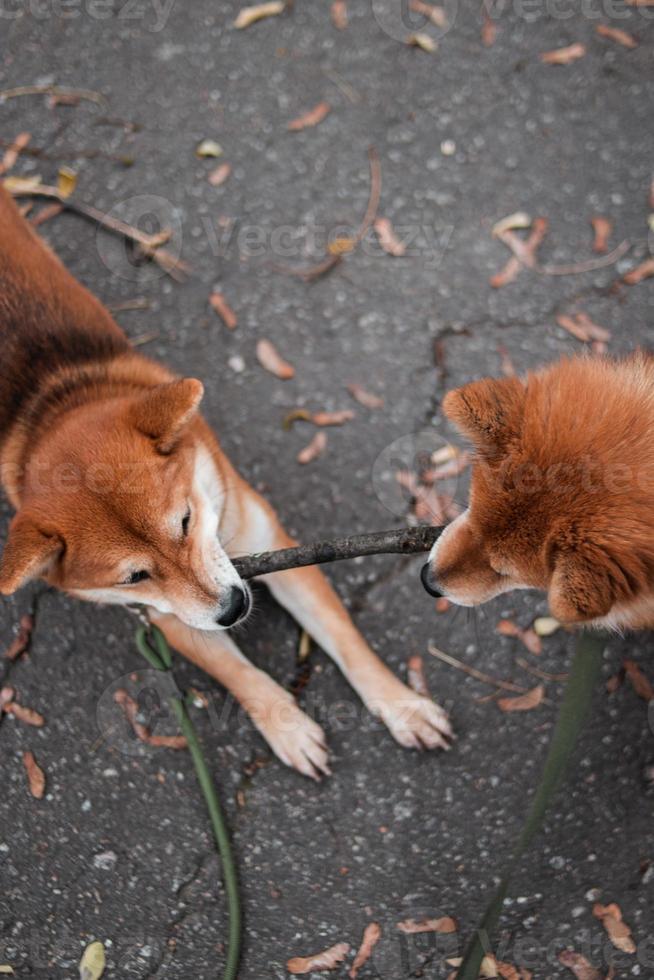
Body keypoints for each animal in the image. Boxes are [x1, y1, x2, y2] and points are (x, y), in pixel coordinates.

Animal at [0, 188, 452, 776]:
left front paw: (401, 705)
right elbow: (238, 673)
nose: (234, 609)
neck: (53, 401)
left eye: (185, 521)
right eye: (134, 577)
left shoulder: (271, 543)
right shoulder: (167, 615)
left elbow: (345, 639)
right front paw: (287, 726)